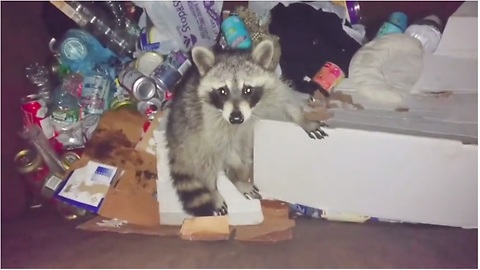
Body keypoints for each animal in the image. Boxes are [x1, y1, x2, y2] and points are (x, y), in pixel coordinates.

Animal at [165, 39, 326, 217]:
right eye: (223, 91)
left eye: (247, 89)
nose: (236, 118)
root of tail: (172, 137)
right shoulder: (210, 123)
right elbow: (224, 149)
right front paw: (232, 177)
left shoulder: (270, 90)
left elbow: (286, 103)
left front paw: (303, 119)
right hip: (192, 139)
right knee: (207, 163)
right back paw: (216, 186)